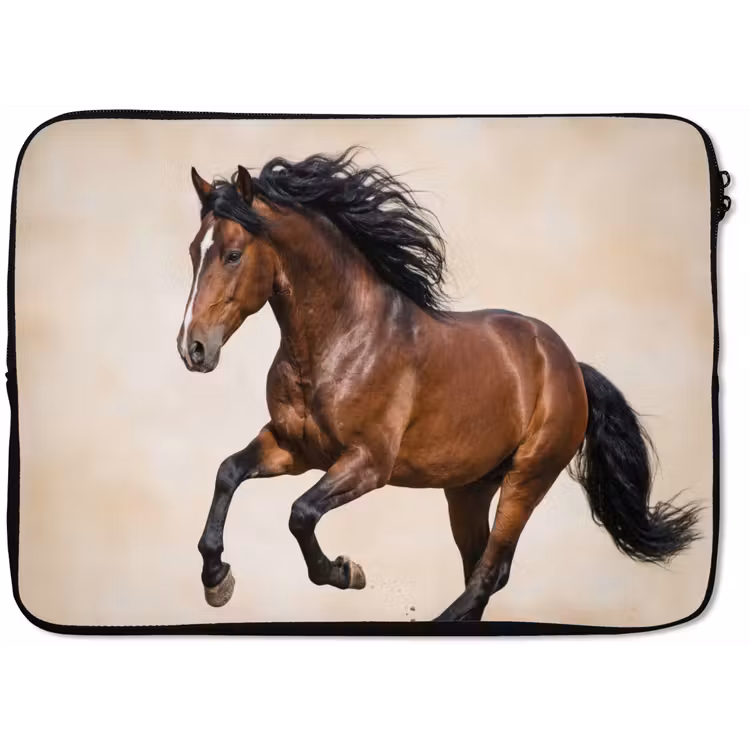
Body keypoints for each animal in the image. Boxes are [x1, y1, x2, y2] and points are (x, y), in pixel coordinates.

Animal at [176, 147, 701, 622]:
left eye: (233, 254)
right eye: (193, 251)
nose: (192, 348)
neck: (342, 340)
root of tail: (569, 364)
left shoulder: (368, 463)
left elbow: (301, 512)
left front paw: (346, 572)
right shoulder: (294, 448)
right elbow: (228, 472)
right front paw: (217, 580)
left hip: (528, 478)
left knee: (490, 573)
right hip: (468, 489)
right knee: (481, 570)